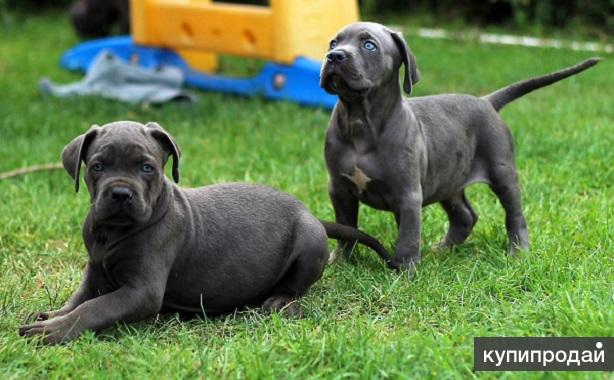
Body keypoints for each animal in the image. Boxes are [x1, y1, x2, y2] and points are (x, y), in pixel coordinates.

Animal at [20, 121, 394, 344]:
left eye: (147, 168)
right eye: (97, 166)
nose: (121, 194)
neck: (111, 234)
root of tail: (312, 215)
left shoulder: (141, 290)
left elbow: (94, 309)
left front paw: (53, 330)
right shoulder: (95, 272)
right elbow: (79, 300)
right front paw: (52, 316)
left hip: (309, 242)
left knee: (295, 287)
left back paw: (277, 300)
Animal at [320, 21, 604, 270]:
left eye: (369, 45)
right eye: (333, 42)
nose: (334, 56)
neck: (360, 120)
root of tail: (487, 101)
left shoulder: (408, 194)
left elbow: (408, 237)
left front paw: (405, 273)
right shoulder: (339, 189)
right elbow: (346, 229)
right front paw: (340, 262)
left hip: (502, 172)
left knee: (514, 214)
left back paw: (518, 251)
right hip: (449, 180)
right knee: (465, 216)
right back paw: (442, 250)